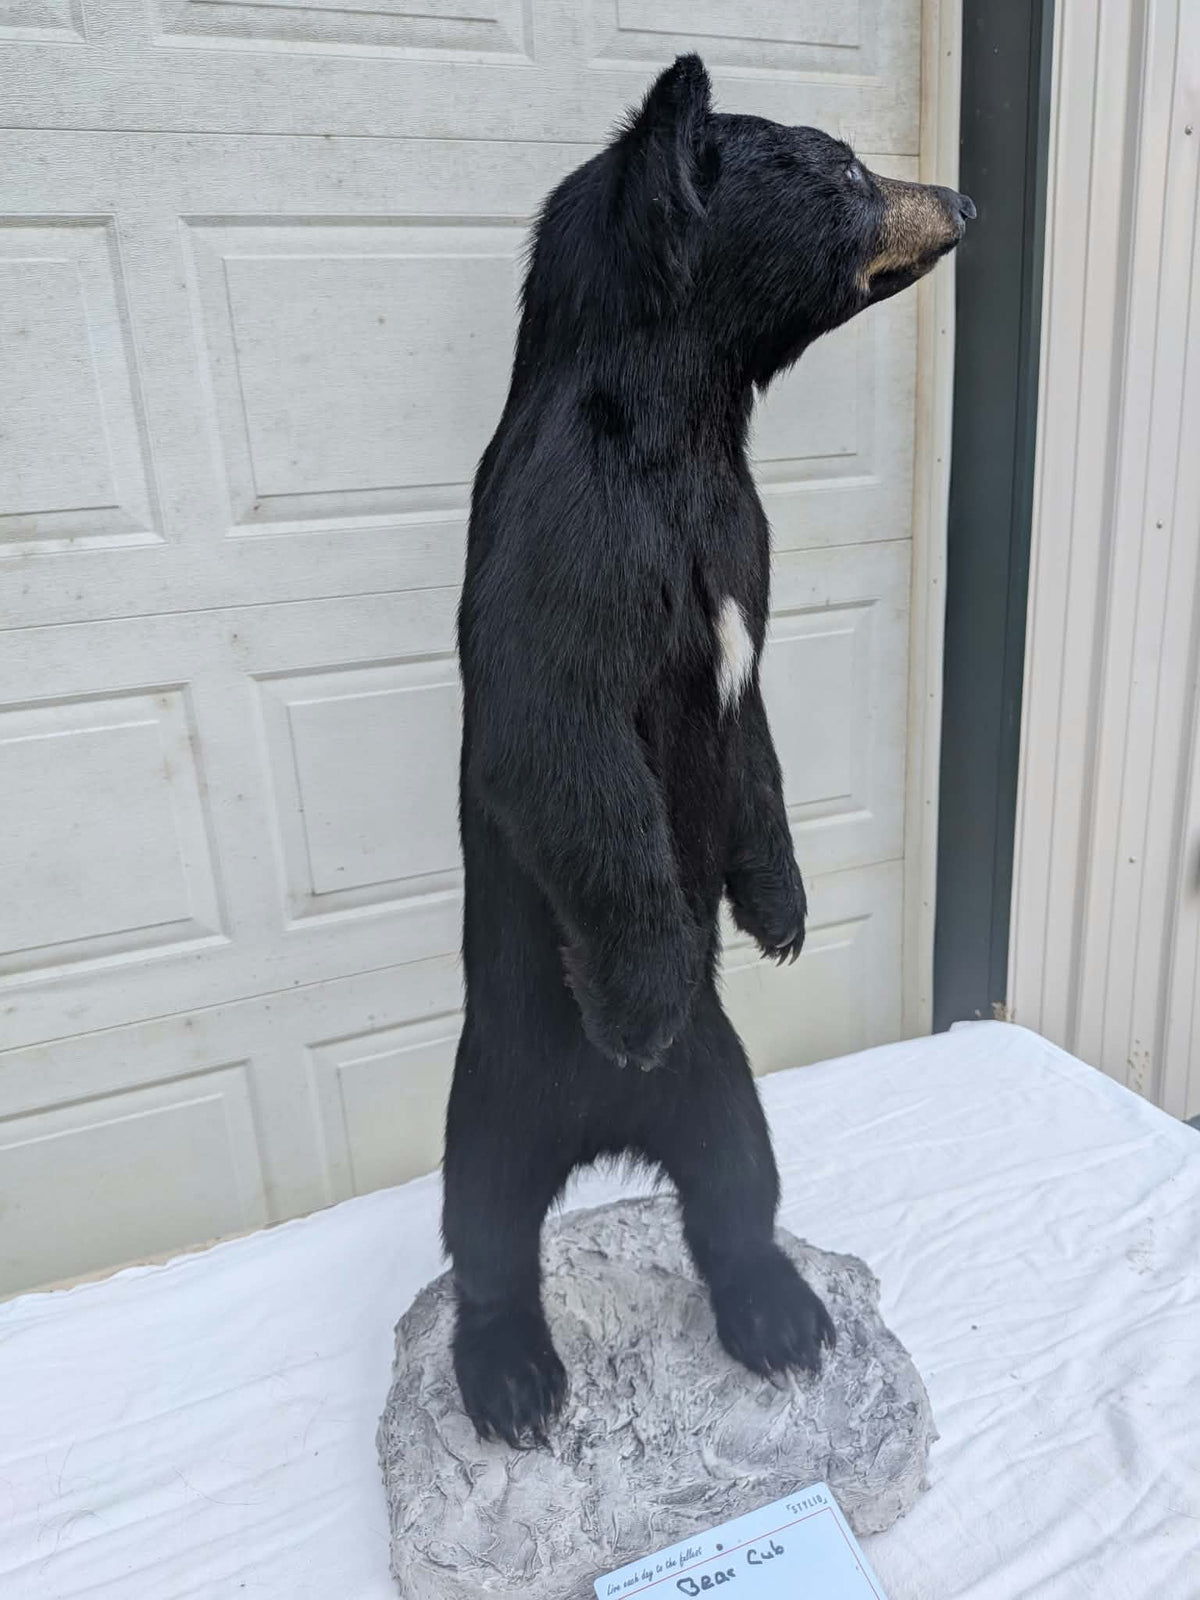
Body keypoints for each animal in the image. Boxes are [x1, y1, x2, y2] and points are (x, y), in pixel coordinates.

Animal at [442, 54, 974, 1447]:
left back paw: (783, 1317)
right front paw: (641, 990)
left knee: (739, 1182)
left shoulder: (745, 549)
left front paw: (780, 911)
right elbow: (556, 737)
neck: (684, 431)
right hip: (489, 1091)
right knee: (482, 1228)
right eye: (844, 166)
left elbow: (757, 741)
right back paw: (511, 1376)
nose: (958, 195)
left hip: (727, 1079)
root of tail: (608, 1129)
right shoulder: (569, 537)